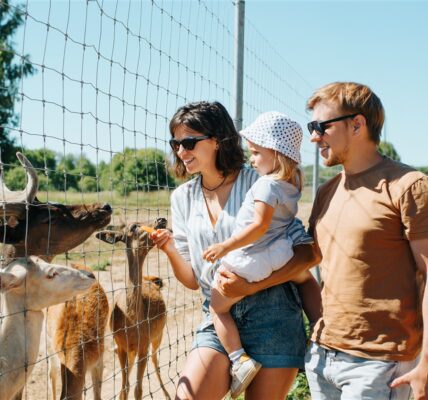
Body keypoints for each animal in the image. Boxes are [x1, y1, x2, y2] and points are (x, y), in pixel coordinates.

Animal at [97, 219, 171, 400]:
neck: (130, 321)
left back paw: (167, 394)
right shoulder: (121, 346)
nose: (162, 219)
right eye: (133, 226)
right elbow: (125, 387)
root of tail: (150, 279)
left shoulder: (144, 345)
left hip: (158, 335)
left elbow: (138, 389)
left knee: (155, 360)